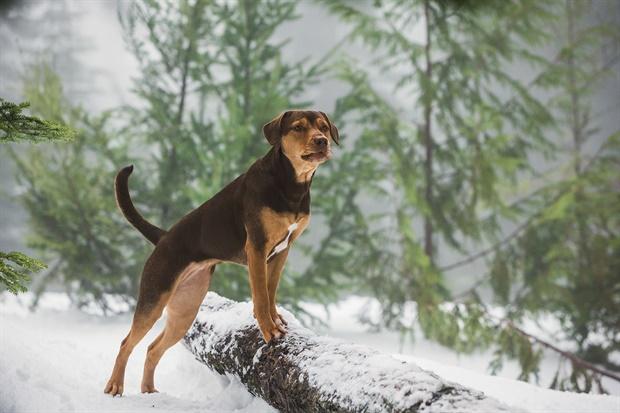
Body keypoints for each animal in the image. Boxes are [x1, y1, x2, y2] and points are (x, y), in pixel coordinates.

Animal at [104, 110, 342, 396]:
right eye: (298, 127)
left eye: (324, 127)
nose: (321, 141)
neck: (290, 185)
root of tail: (163, 237)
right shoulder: (257, 247)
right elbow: (261, 295)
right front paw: (269, 330)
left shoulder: (282, 251)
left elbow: (271, 290)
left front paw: (277, 321)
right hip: (154, 298)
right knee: (126, 343)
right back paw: (115, 385)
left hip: (186, 310)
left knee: (153, 348)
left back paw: (149, 390)